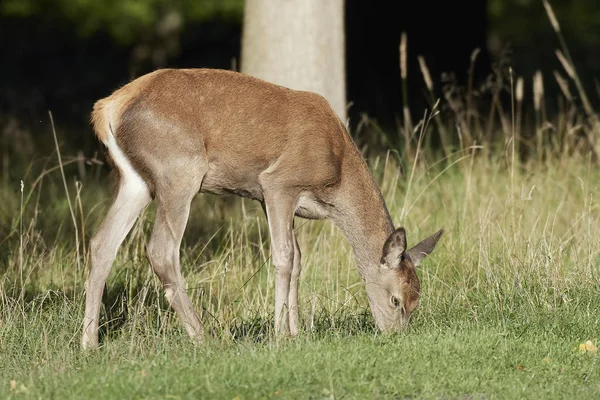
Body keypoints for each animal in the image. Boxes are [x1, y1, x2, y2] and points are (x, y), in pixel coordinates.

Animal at [82, 68, 442, 350]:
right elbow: (284, 257)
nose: (395, 336)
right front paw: (280, 335)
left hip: (136, 180)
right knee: (161, 249)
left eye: (416, 302)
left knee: (102, 243)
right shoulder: (278, 182)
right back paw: (202, 336)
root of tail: (108, 107)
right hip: (179, 169)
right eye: (396, 300)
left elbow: (298, 260)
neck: (336, 175)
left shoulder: (267, 198)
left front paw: (298, 333)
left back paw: (90, 343)